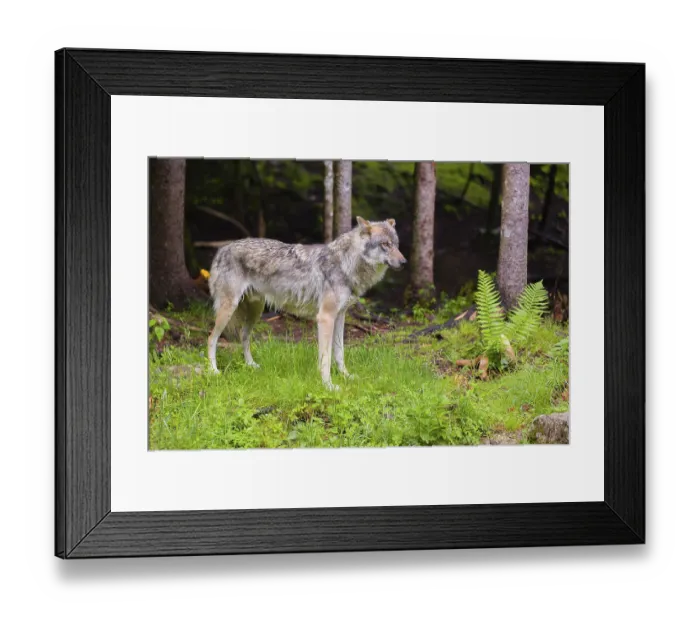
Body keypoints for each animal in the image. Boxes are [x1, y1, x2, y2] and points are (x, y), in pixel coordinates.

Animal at [207, 216, 406, 390]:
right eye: (385, 244)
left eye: (396, 244)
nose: (404, 262)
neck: (346, 264)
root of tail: (223, 248)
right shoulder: (325, 317)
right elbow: (326, 357)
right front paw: (328, 386)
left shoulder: (340, 316)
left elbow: (339, 353)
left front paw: (346, 376)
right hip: (229, 308)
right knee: (211, 338)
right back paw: (214, 371)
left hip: (256, 311)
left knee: (243, 335)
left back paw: (251, 365)